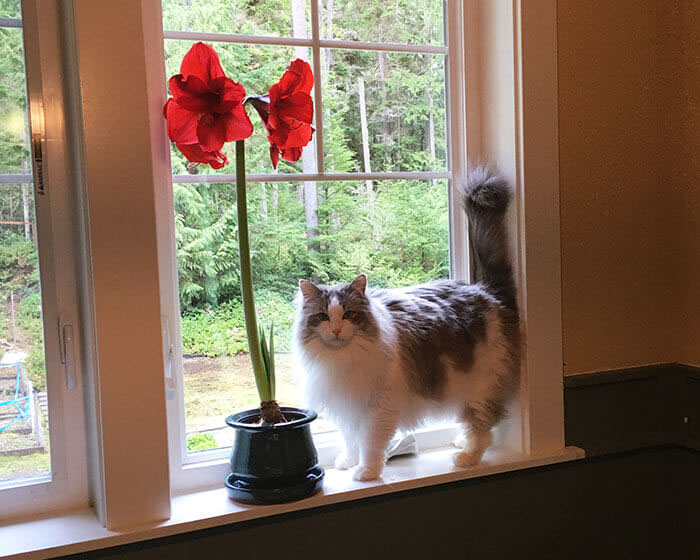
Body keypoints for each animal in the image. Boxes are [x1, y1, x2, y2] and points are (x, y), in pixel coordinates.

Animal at [290, 167, 520, 482]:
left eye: (348, 315)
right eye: (324, 317)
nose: (336, 330)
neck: (342, 360)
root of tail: (486, 292)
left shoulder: (378, 408)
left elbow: (371, 444)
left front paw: (366, 473)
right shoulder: (349, 406)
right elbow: (350, 439)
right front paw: (349, 461)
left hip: (478, 385)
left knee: (483, 427)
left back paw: (466, 457)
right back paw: (460, 442)